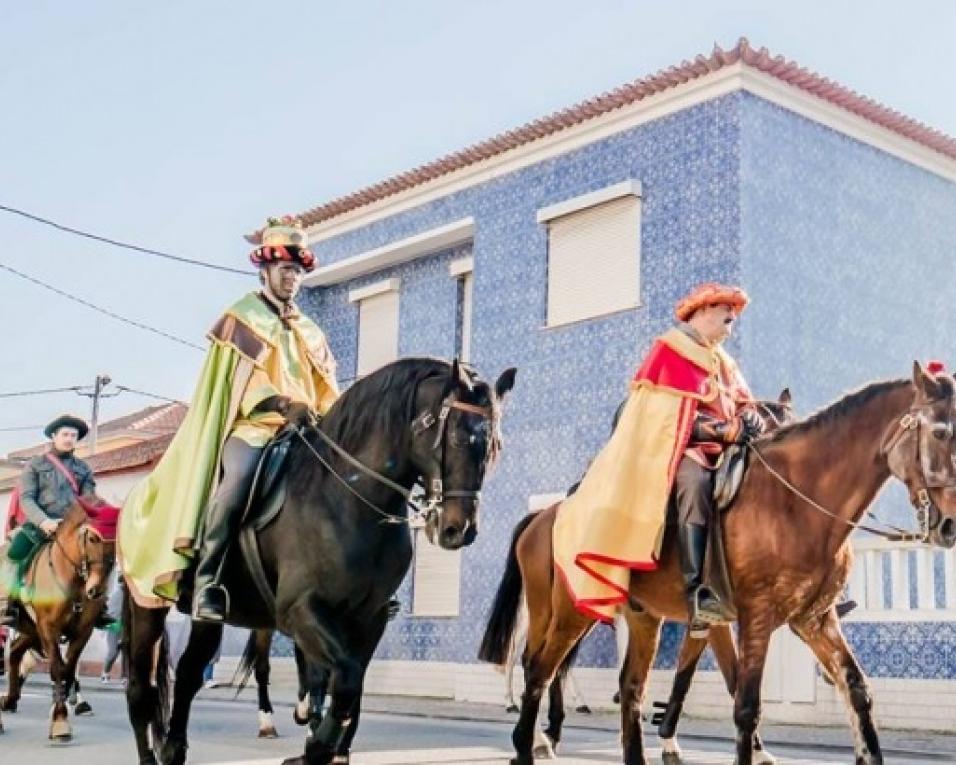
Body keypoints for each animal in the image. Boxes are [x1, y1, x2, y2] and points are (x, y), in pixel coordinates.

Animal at [0, 502, 116, 740]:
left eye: (116, 542)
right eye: (93, 539)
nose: (97, 590)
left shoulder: (83, 631)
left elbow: (68, 670)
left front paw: (65, 708)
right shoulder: (48, 628)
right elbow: (57, 668)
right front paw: (60, 719)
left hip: (30, 628)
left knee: (15, 652)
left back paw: (11, 699)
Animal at [125, 360, 524, 764]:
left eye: (495, 446)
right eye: (457, 437)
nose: (460, 529)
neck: (349, 500)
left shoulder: (368, 618)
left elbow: (351, 687)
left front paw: (326, 745)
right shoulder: (299, 610)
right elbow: (344, 679)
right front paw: (316, 746)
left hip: (209, 616)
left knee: (190, 671)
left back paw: (175, 746)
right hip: (147, 604)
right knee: (142, 689)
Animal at [482, 366, 956, 764]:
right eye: (940, 432)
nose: (949, 524)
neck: (795, 501)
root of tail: (549, 515)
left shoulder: (813, 619)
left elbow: (856, 691)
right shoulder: (754, 616)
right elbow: (744, 703)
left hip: (640, 617)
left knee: (628, 687)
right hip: (565, 611)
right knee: (539, 670)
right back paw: (528, 744)